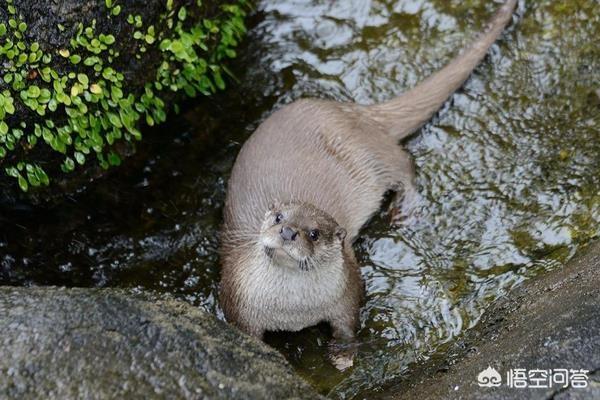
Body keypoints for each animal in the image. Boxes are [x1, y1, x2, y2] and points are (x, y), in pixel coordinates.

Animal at [218, 0, 516, 342]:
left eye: (314, 233)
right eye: (279, 217)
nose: (288, 232)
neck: (292, 312)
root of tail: (354, 112)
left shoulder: (347, 292)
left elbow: (347, 331)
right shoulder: (238, 302)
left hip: (371, 158)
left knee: (404, 163)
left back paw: (405, 209)